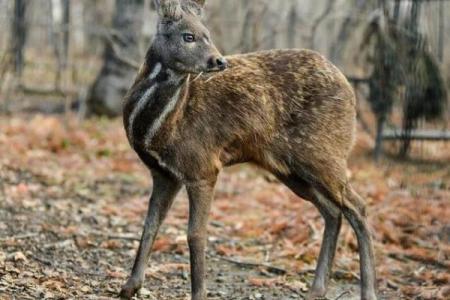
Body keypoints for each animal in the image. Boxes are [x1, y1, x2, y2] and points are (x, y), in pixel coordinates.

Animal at [118, 0, 376, 300]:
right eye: (188, 36)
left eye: (207, 34)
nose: (218, 61)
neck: (160, 128)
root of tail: (349, 89)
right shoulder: (163, 173)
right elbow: (150, 224)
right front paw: (130, 286)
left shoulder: (202, 166)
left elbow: (195, 233)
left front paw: (199, 293)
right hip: (289, 168)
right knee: (333, 210)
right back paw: (317, 289)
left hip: (324, 153)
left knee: (358, 206)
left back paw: (368, 291)